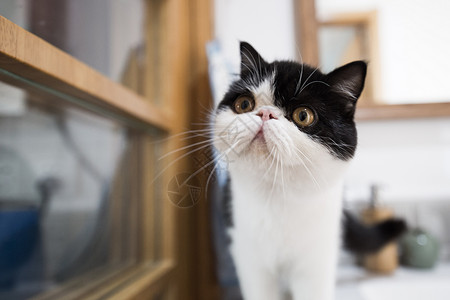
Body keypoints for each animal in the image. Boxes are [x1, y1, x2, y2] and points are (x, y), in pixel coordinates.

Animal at [211, 42, 404, 300]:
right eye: (244, 104)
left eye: (303, 115)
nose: (265, 113)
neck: (278, 195)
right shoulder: (249, 256)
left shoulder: (317, 259)